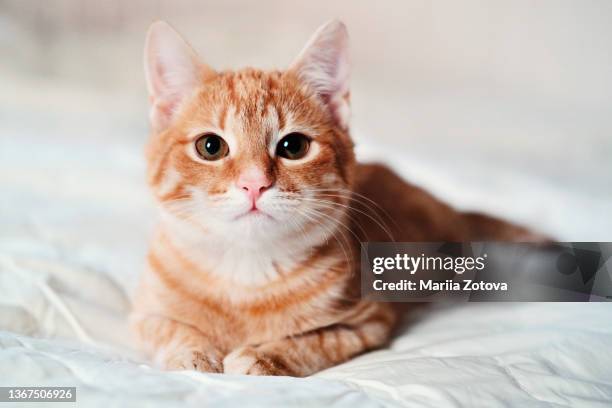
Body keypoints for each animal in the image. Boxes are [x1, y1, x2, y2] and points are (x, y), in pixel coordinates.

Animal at [130, 19, 540, 376]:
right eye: (210, 147)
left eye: (293, 146)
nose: (254, 184)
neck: (245, 276)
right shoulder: (142, 313)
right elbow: (169, 329)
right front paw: (194, 352)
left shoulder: (368, 321)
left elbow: (313, 342)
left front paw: (263, 356)